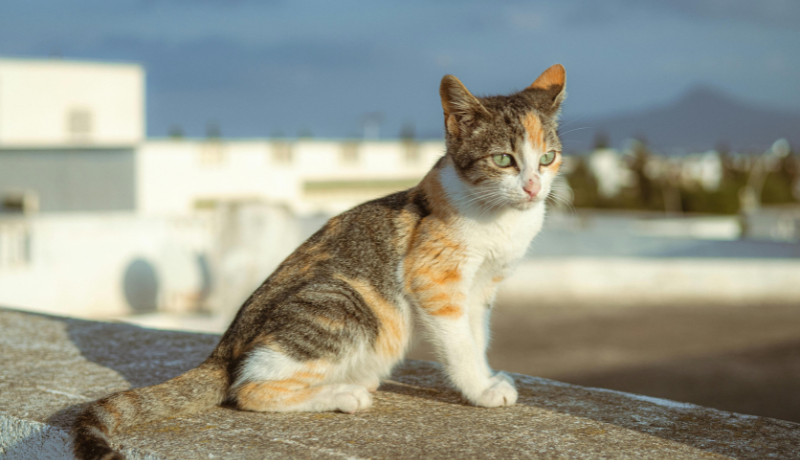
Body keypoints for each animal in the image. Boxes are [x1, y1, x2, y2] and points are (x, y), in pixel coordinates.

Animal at [72, 63, 564, 458]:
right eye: (503, 159)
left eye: (547, 157)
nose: (533, 187)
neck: (499, 221)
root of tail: (224, 347)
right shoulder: (435, 277)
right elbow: (458, 342)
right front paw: (479, 390)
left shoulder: (482, 287)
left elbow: (476, 335)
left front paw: (485, 376)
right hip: (344, 303)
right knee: (247, 387)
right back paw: (343, 394)